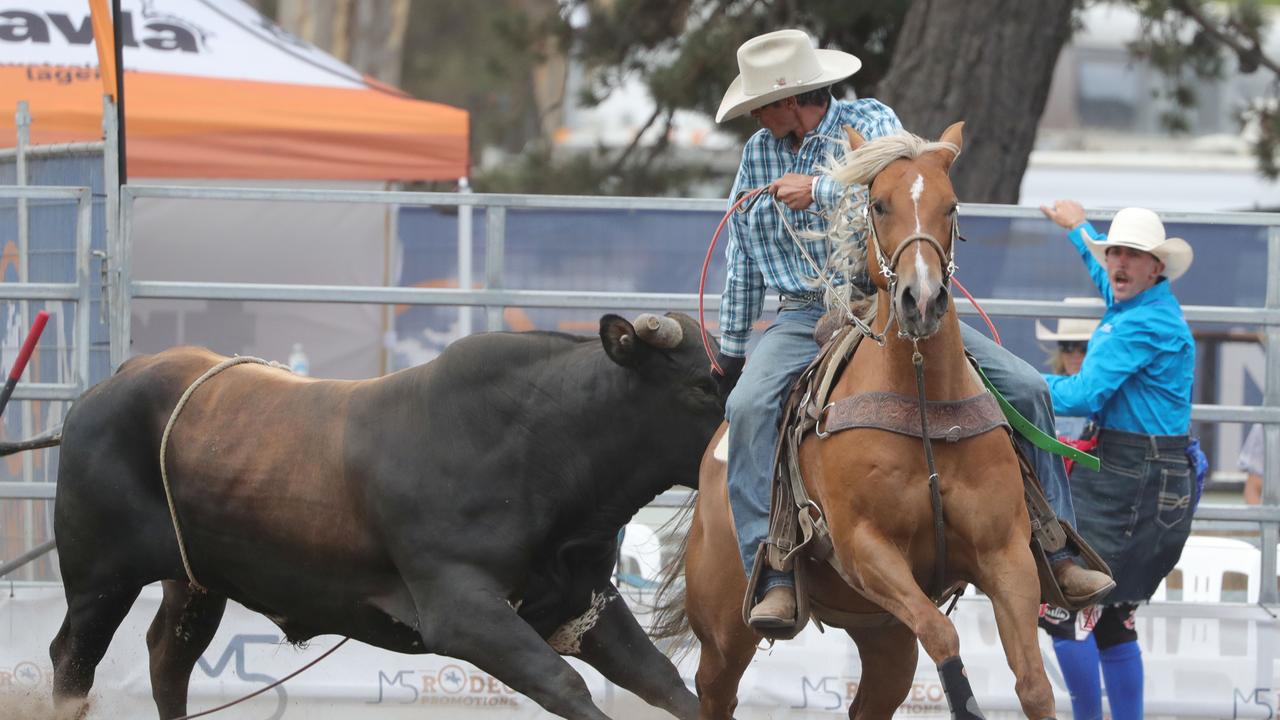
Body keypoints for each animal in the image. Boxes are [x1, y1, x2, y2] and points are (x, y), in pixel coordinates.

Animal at [47, 310, 721, 717]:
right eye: (700, 385)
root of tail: (114, 381)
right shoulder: (462, 611)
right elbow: (566, 685)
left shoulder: (581, 605)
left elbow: (666, 681)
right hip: (98, 581)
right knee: (71, 661)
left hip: (194, 582)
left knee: (168, 659)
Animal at [675, 124, 1054, 717]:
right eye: (878, 204)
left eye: (952, 206)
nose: (922, 299)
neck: (923, 407)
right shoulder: (866, 549)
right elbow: (944, 635)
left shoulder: (1005, 550)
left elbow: (1034, 683)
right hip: (723, 630)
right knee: (714, 690)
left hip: (881, 632)